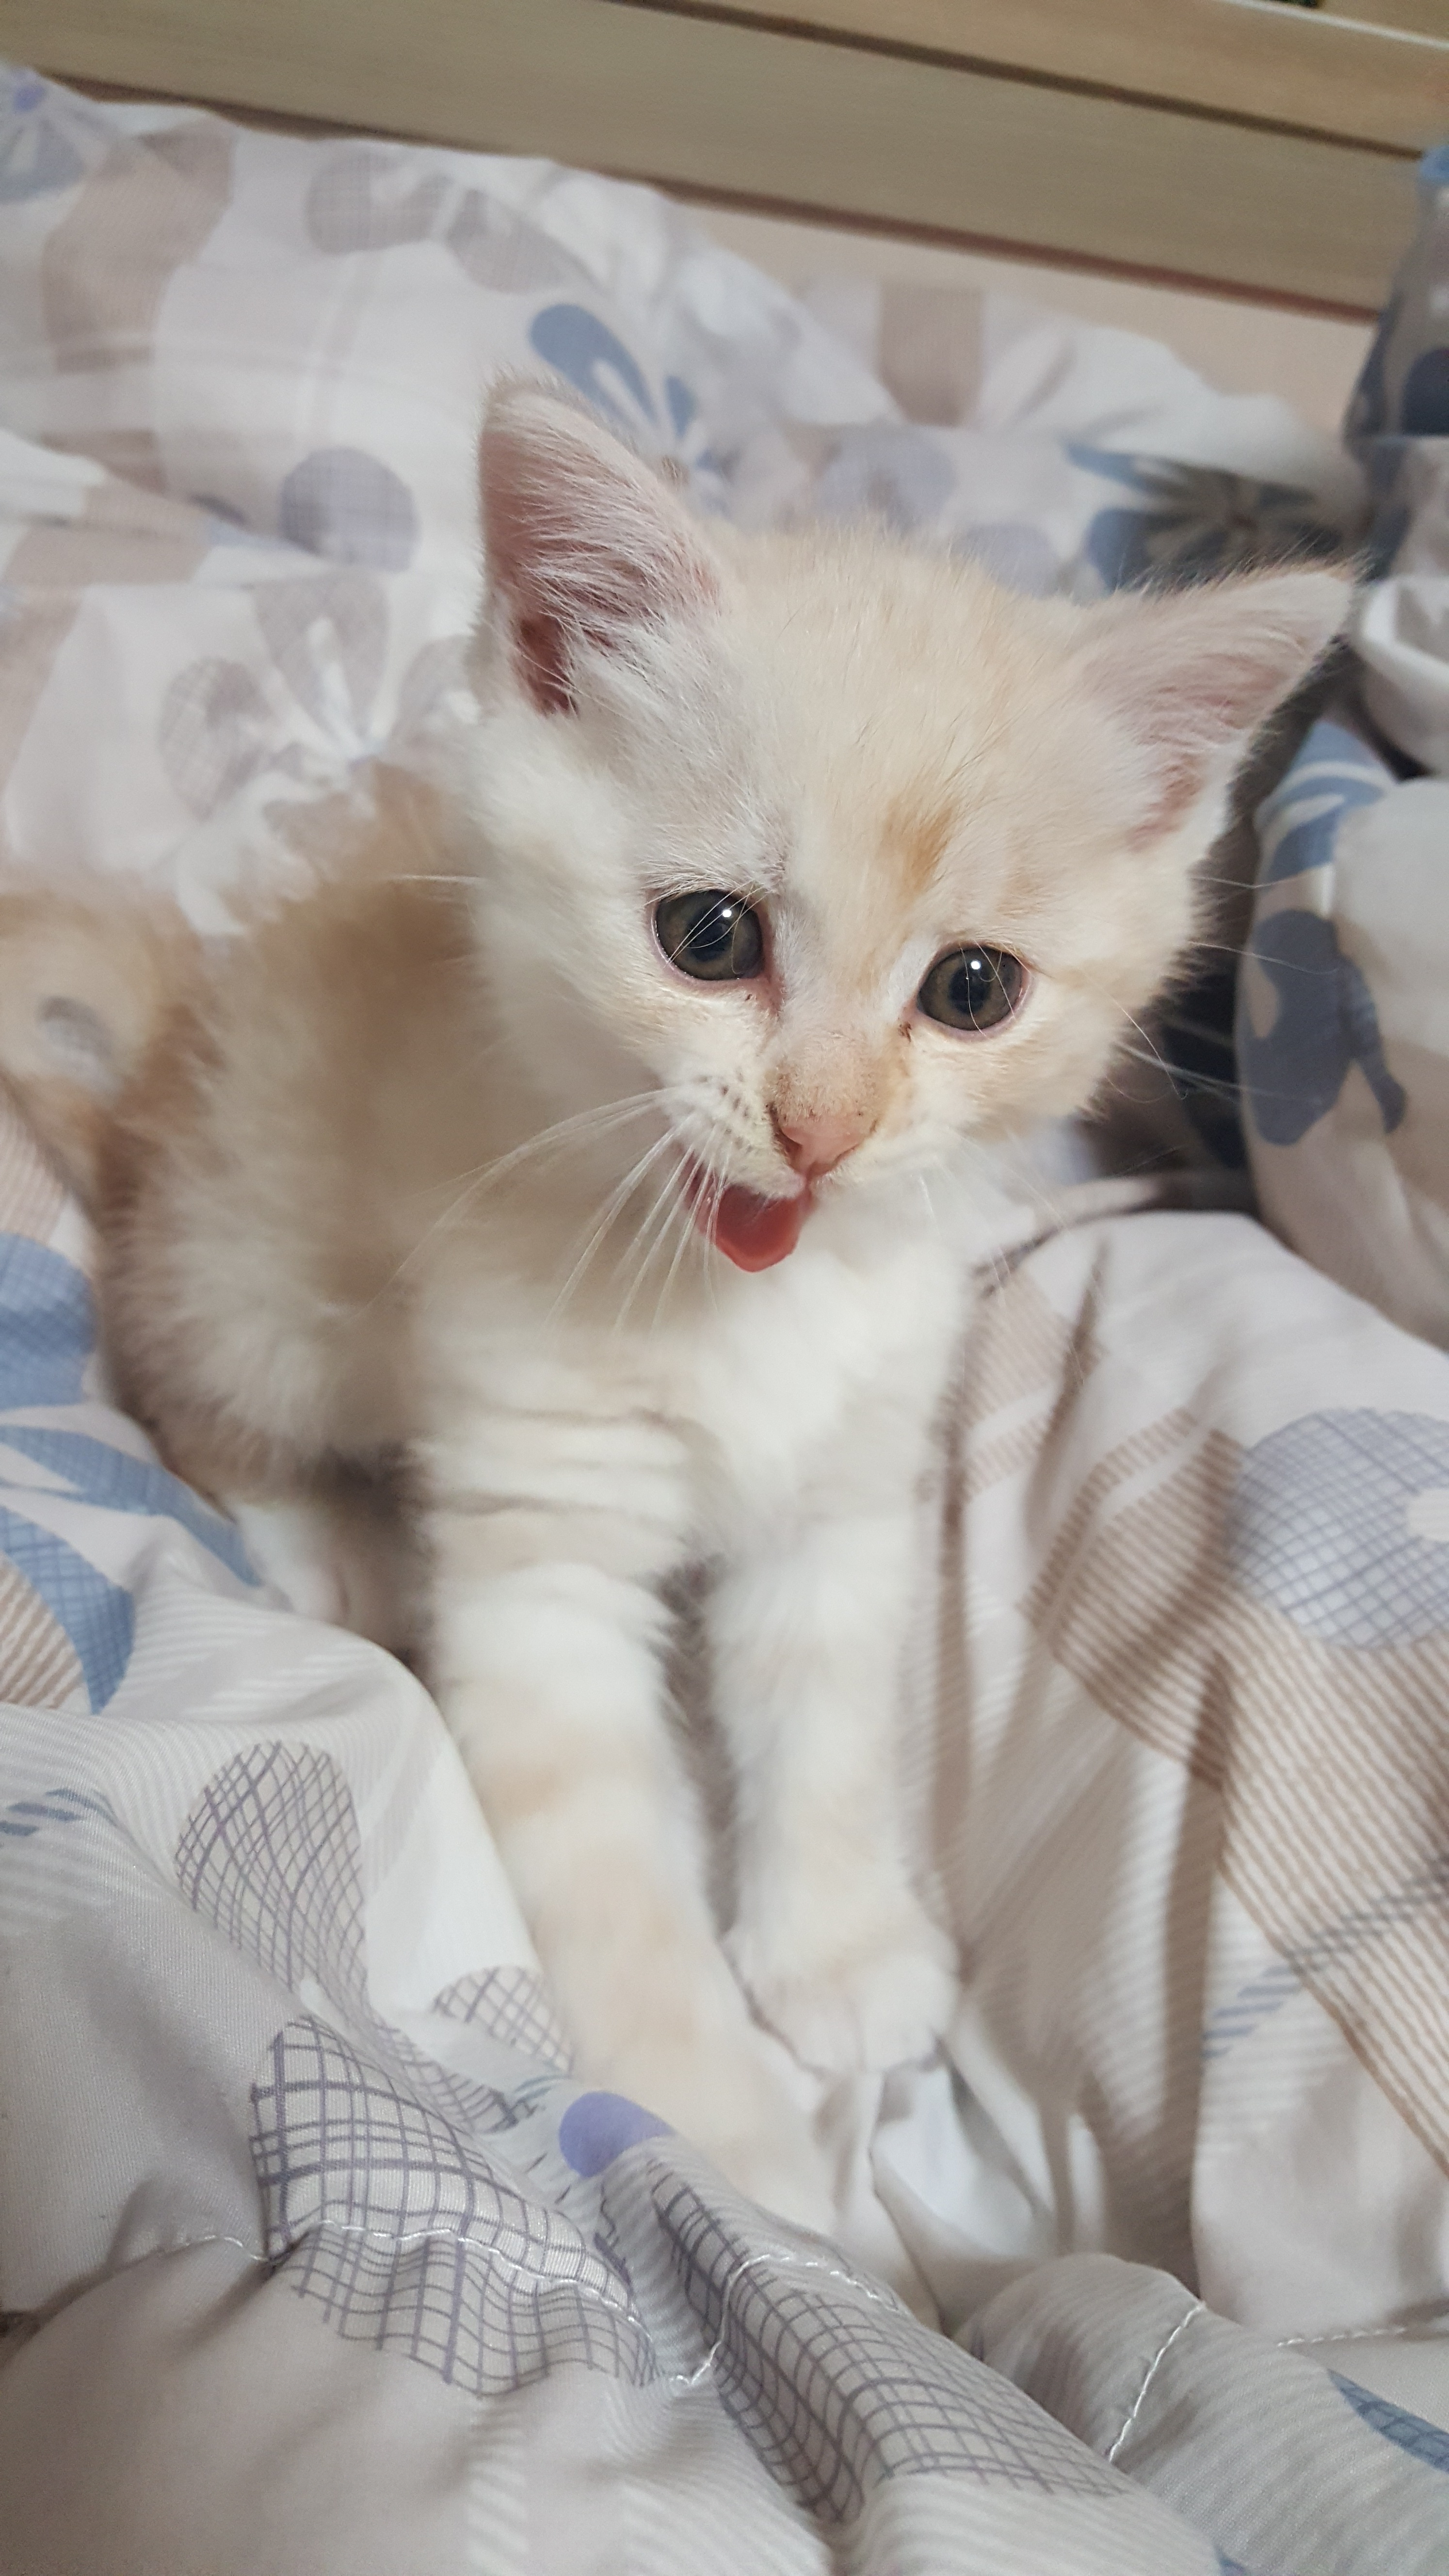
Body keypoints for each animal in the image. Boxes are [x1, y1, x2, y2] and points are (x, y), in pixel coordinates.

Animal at [0, 380, 1347, 2223]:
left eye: (973, 988)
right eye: (709, 937)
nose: (822, 1126)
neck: (737, 1286)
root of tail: (158, 1079)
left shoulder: (845, 1494)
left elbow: (826, 1725)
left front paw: (838, 1948)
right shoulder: (537, 1545)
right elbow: (606, 1871)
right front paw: (726, 2157)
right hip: (254, 1270)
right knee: (191, 1391)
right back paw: (334, 1542)